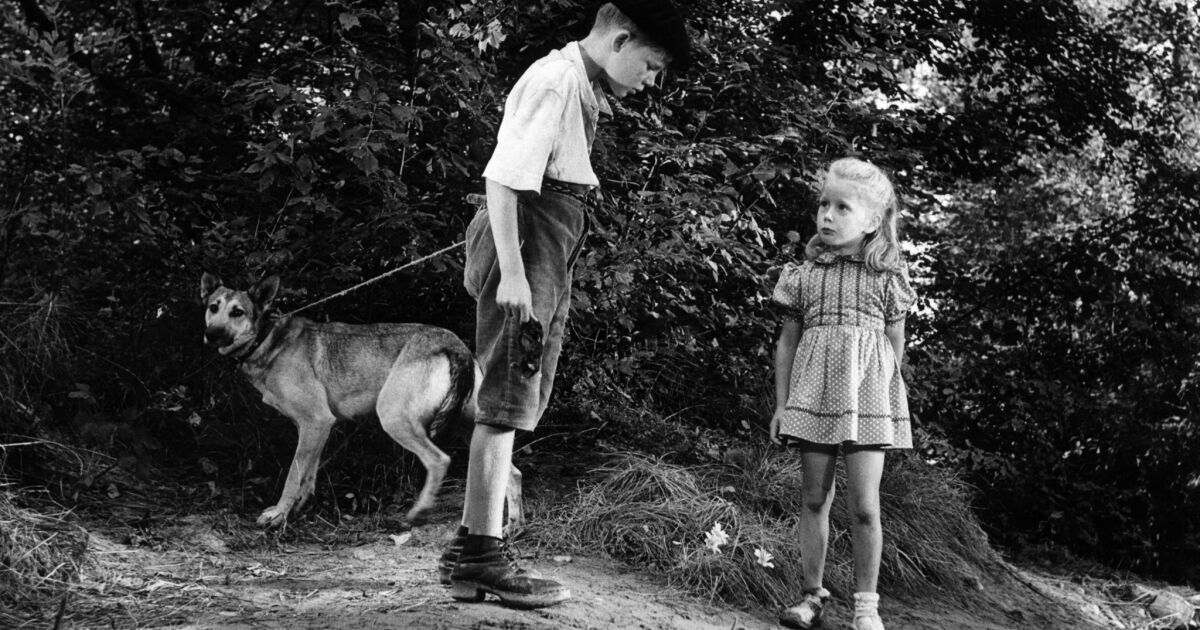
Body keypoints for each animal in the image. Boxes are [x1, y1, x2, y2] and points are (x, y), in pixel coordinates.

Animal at [200, 273, 520, 530]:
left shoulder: (316, 422)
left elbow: (293, 475)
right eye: (213, 307)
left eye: (237, 312)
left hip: (394, 418)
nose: (210, 335)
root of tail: (453, 342)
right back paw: (514, 528)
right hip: (471, 425)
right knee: (512, 473)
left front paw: (279, 514)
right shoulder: (316, 428)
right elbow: (308, 475)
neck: (267, 339)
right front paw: (299, 508)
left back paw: (419, 511)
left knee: (440, 460)